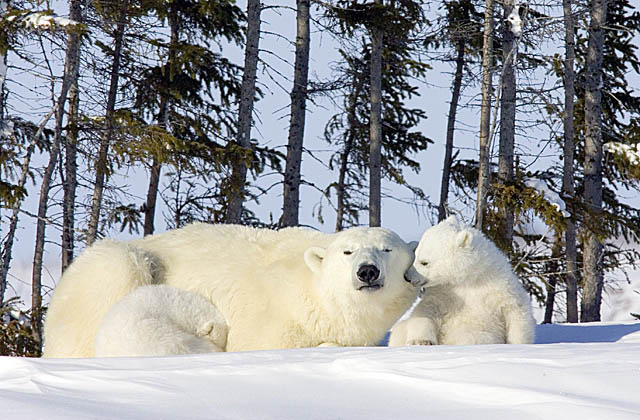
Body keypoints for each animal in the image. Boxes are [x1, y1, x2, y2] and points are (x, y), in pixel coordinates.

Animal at [390, 215, 536, 346]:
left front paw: (517, 344)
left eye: (424, 262)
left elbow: (516, 310)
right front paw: (420, 341)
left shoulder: (499, 287)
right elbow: (426, 310)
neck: (469, 279)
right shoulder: (444, 292)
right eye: (415, 254)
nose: (407, 276)